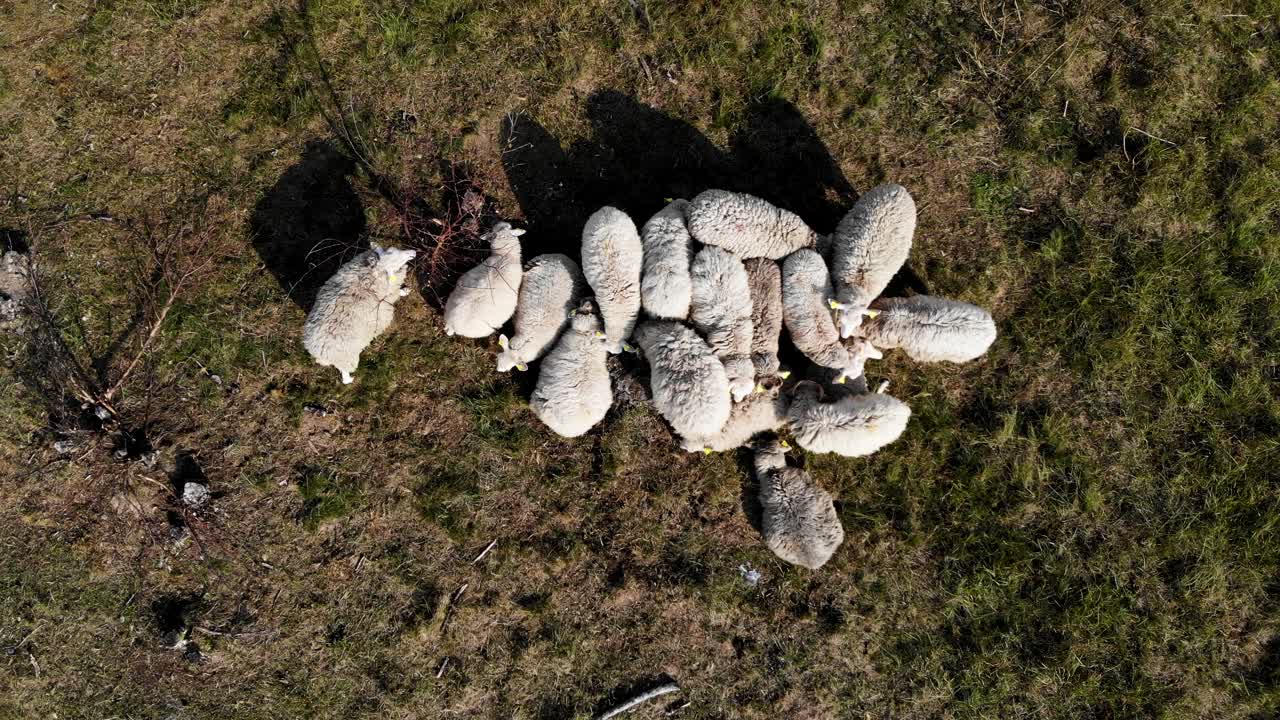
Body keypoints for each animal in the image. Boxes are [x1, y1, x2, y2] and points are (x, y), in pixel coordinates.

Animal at [303, 243, 417, 384]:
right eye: (393, 259)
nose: (413, 252)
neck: (372, 274)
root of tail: (318, 350)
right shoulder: (388, 296)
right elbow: (397, 292)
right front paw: (404, 291)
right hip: (346, 357)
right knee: (345, 377)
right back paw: (351, 379)